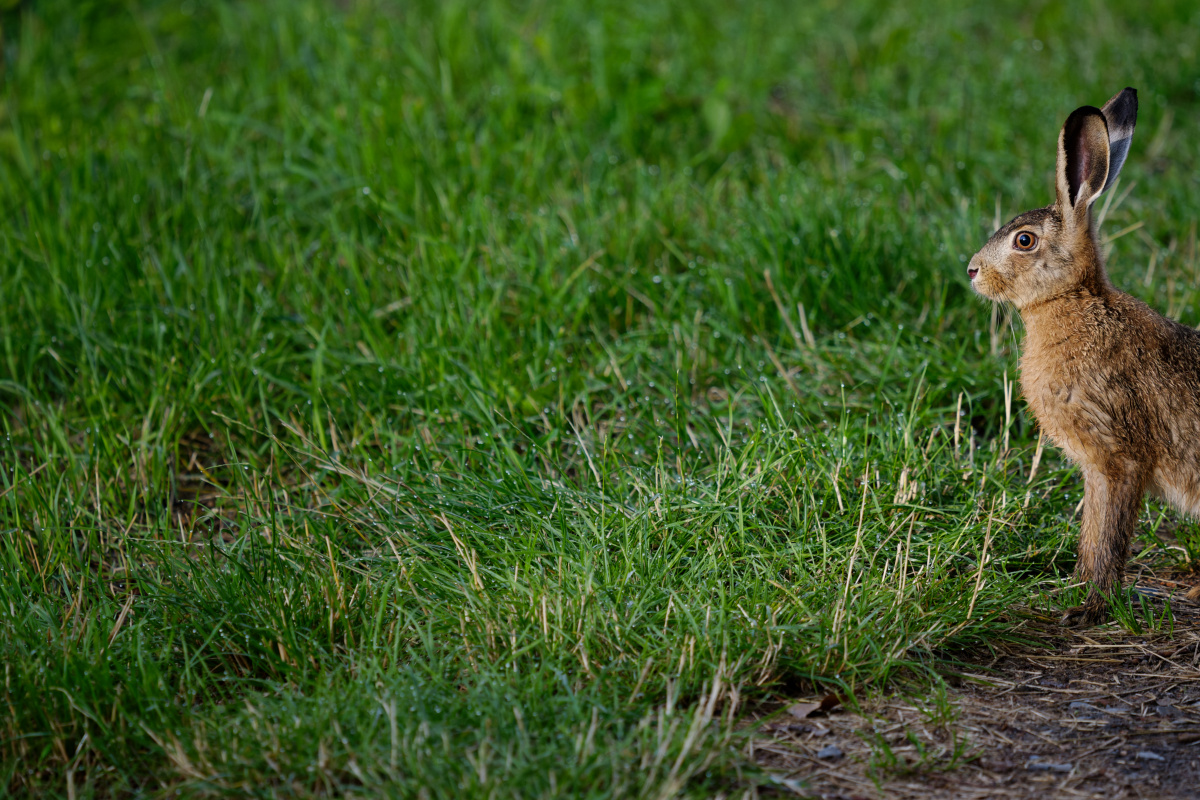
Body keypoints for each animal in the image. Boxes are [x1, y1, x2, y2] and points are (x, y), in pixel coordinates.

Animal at [968, 87, 1200, 625]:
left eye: (1024, 241)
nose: (971, 271)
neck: (1074, 300)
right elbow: (1093, 537)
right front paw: (1075, 593)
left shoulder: (1116, 457)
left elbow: (1106, 539)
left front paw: (1089, 607)